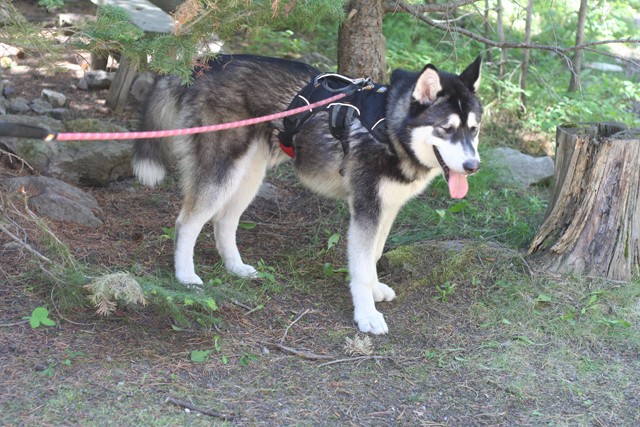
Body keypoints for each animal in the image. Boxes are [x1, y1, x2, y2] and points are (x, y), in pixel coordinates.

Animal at [136, 54, 484, 334]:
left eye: (474, 129)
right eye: (446, 129)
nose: (473, 166)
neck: (388, 128)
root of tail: (207, 62)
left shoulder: (386, 208)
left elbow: (373, 256)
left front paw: (374, 289)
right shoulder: (366, 209)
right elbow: (360, 266)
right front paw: (367, 315)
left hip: (249, 176)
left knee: (224, 221)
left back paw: (236, 267)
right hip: (222, 172)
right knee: (187, 222)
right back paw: (185, 276)